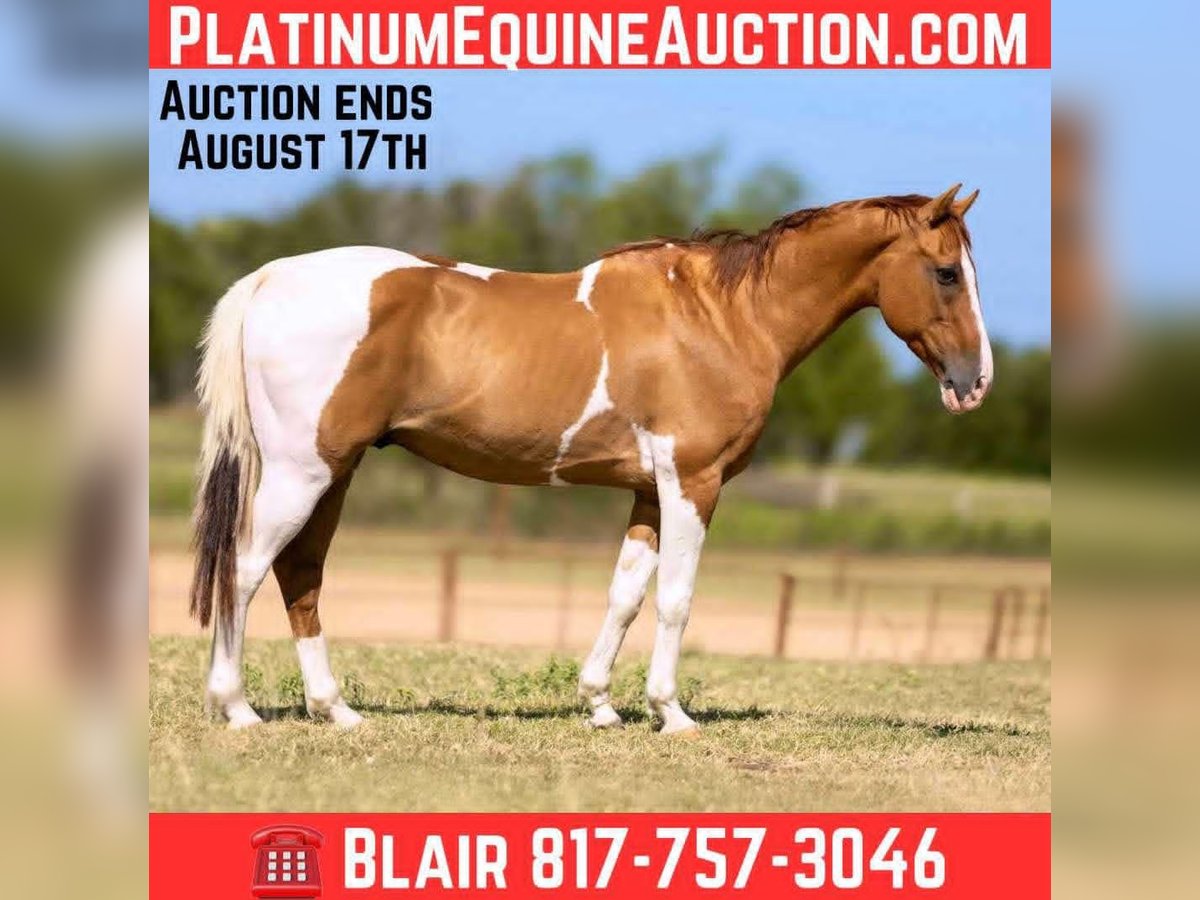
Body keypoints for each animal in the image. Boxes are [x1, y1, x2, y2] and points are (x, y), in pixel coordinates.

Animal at [190, 184, 992, 734]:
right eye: (947, 272)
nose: (975, 381)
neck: (721, 317)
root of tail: (270, 278)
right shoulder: (692, 482)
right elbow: (675, 598)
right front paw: (671, 712)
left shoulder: (649, 491)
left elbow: (625, 594)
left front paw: (601, 703)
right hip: (303, 472)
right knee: (247, 567)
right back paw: (237, 707)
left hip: (334, 472)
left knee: (300, 576)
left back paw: (335, 710)